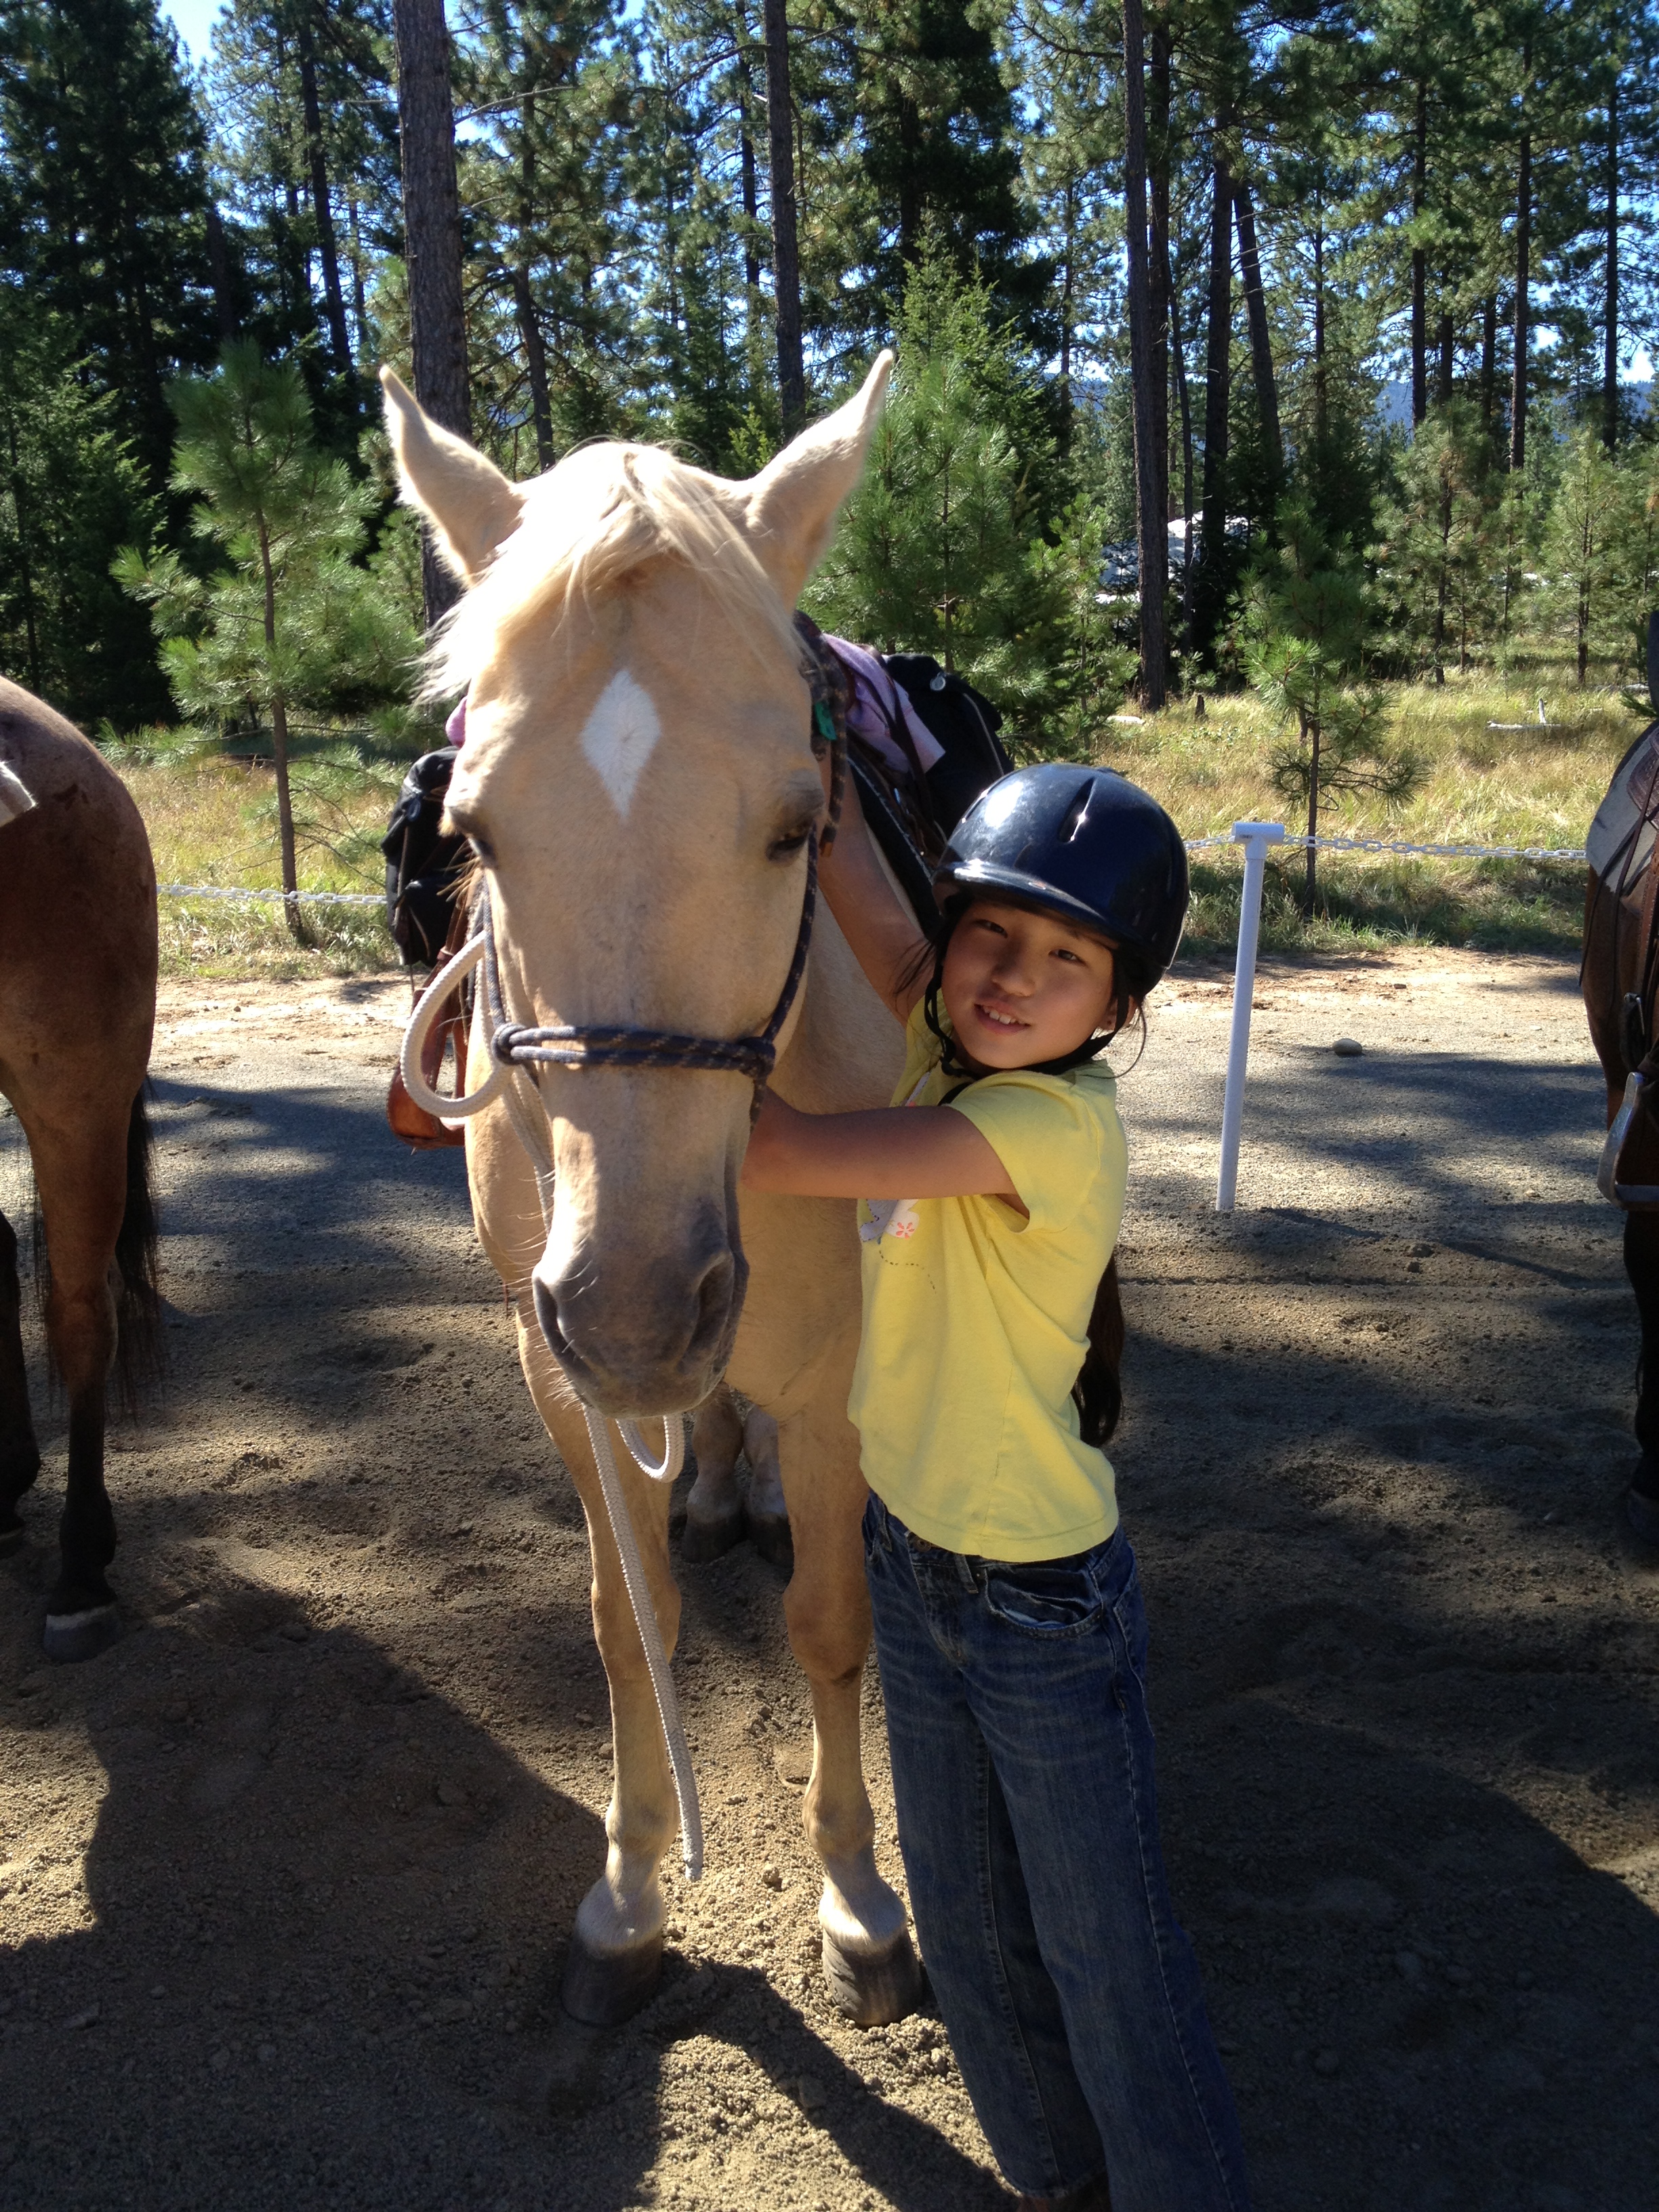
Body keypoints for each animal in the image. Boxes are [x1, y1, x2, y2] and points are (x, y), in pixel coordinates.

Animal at [384, 358, 937, 2026]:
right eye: (474, 830)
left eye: (795, 823)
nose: (633, 1309)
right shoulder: (558, 1367)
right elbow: (626, 1632)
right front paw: (630, 1892)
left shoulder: (827, 1377)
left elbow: (831, 1623)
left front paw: (855, 1896)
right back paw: (704, 1481)